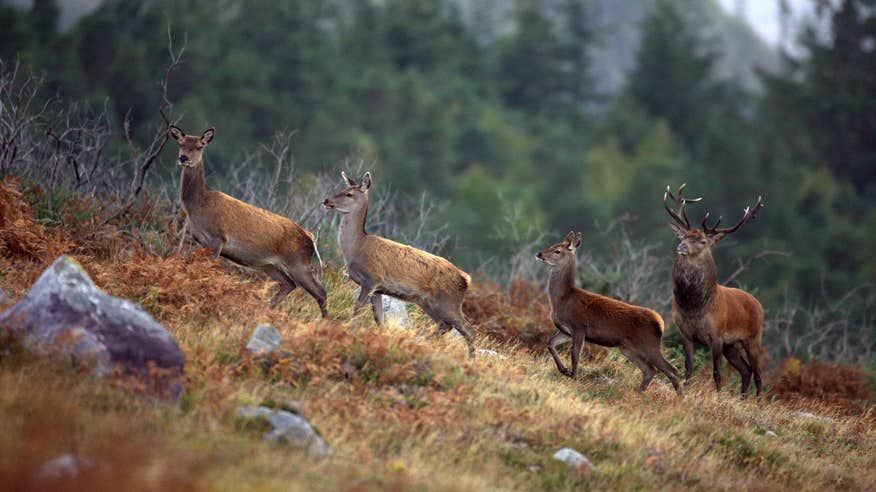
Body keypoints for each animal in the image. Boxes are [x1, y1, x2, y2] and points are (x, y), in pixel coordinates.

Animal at [166, 127, 326, 318]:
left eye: (199, 146)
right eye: (181, 144)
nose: (183, 158)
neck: (198, 206)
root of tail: (310, 237)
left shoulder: (218, 238)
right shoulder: (199, 240)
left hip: (298, 263)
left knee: (320, 292)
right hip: (269, 265)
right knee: (289, 284)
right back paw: (264, 310)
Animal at [322, 173, 476, 358]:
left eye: (349, 194)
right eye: (342, 189)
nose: (326, 200)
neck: (356, 248)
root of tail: (465, 279)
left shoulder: (371, 279)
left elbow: (357, 308)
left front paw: (349, 331)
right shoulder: (378, 289)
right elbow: (379, 319)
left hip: (448, 302)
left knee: (469, 329)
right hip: (428, 302)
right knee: (445, 325)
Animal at [532, 231, 684, 396]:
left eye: (557, 251)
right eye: (552, 245)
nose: (539, 254)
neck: (563, 299)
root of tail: (660, 323)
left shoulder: (579, 327)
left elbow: (575, 355)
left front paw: (574, 379)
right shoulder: (565, 330)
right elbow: (550, 343)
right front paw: (564, 370)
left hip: (649, 344)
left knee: (672, 370)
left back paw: (680, 398)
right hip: (628, 348)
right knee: (649, 371)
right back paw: (638, 394)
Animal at [668, 184, 764, 396]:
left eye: (703, 241)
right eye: (684, 236)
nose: (682, 245)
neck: (693, 307)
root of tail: (759, 304)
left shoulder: (717, 335)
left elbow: (717, 372)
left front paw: (718, 397)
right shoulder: (684, 332)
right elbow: (689, 366)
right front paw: (685, 392)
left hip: (754, 338)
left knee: (758, 373)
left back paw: (757, 400)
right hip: (732, 345)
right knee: (746, 371)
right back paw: (742, 398)